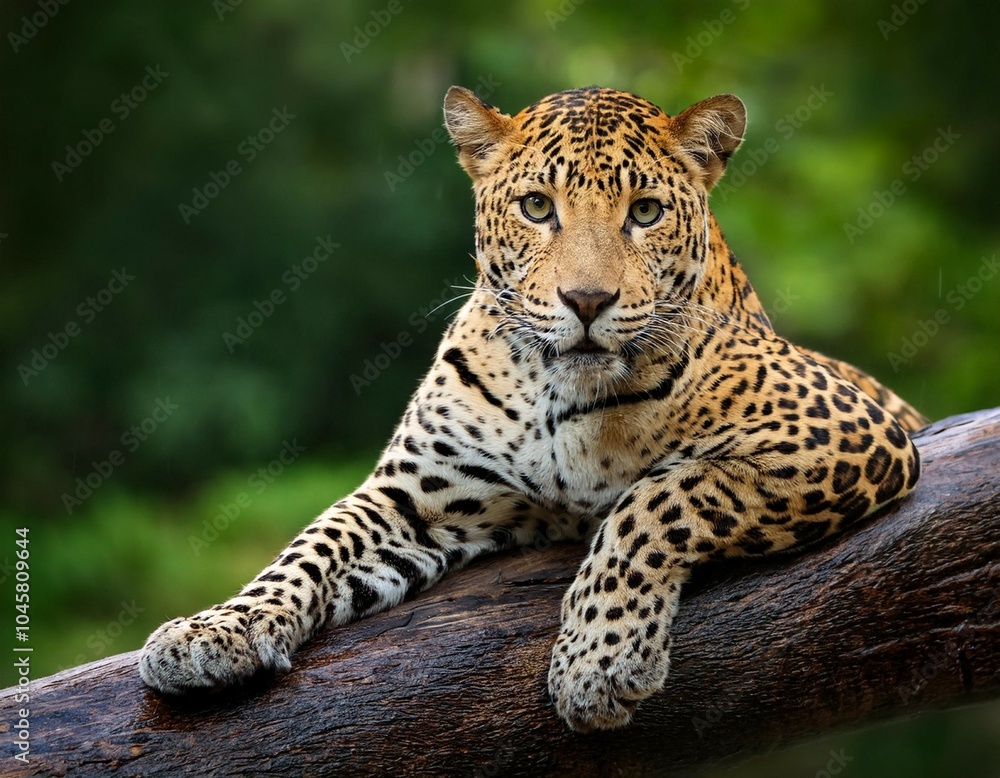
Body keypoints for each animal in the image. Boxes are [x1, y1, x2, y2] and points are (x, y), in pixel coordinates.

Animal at [139, 85, 926, 732]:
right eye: (537, 207)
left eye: (645, 212)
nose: (587, 300)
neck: (563, 399)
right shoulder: (414, 495)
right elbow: (314, 543)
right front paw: (213, 632)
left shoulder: (845, 429)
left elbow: (657, 498)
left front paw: (598, 661)